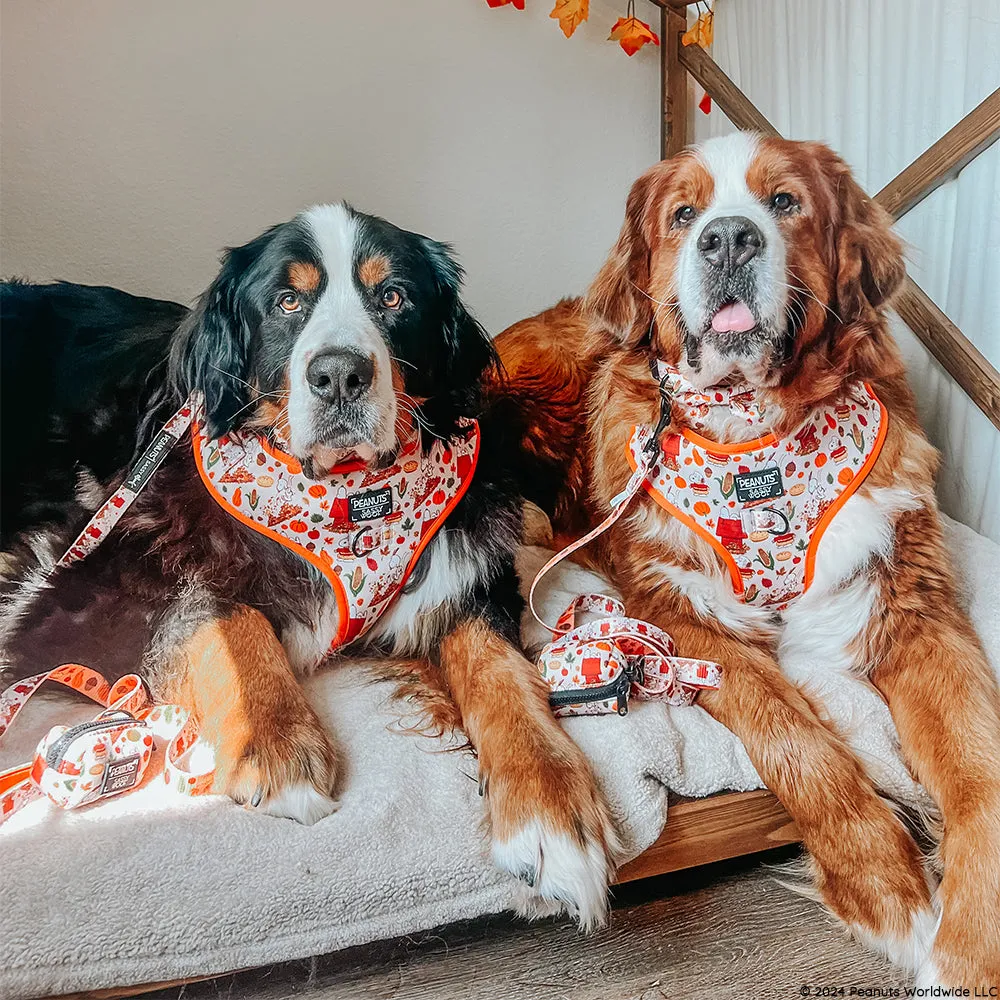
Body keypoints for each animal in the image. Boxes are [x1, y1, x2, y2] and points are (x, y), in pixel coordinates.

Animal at [1, 203, 616, 928]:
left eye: (393, 297)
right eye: (287, 302)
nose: (339, 376)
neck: (345, 495)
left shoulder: (464, 572)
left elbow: (501, 672)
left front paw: (551, 804)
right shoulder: (88, 583)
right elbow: (223, 616)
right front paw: (275, 743)